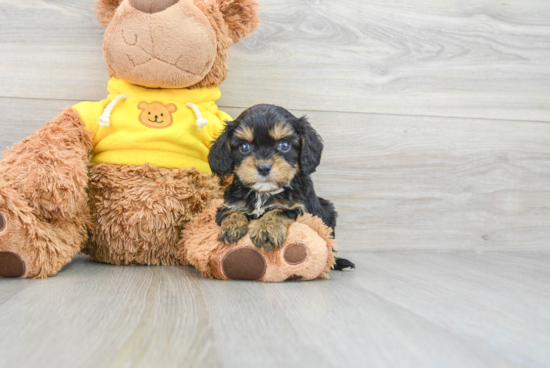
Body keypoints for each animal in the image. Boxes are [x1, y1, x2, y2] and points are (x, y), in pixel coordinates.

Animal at [209, 103, 356, 270]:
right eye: (244, 147)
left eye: (284, 145)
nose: (263, 168)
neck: (264, 193)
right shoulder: (229, 203)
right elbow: (231, 211)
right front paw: (231, 227)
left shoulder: (302, 209)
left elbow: (279, 211)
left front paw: (267, 231)